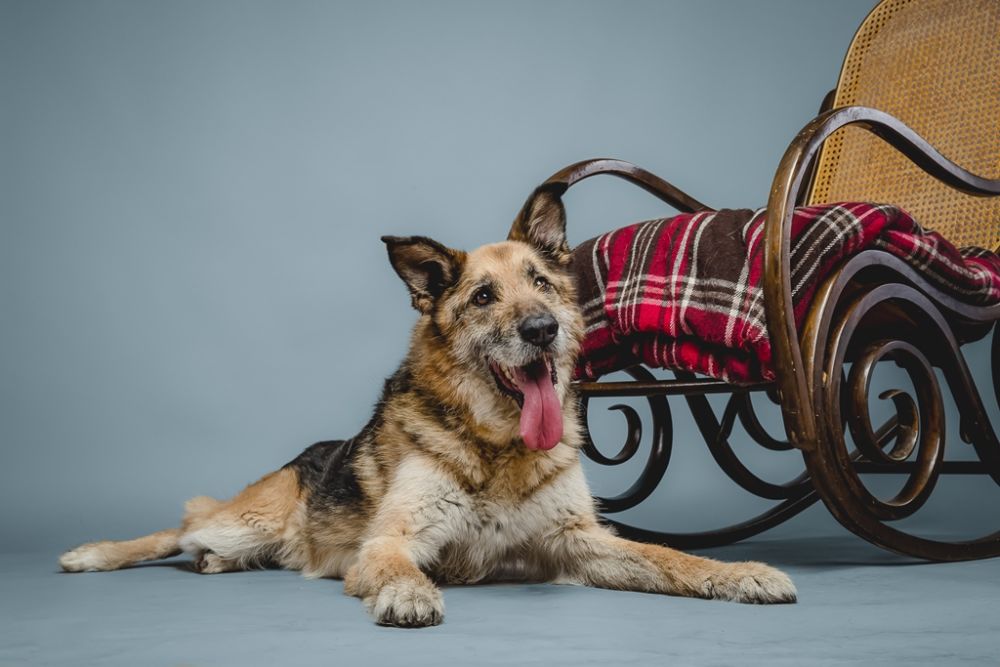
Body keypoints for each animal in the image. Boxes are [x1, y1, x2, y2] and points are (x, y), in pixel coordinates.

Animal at [59, 186, 796, 627]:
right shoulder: (394, 538)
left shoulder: (577, 541)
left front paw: (738, 573)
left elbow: (668, 558)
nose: (541, 331)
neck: (499, 444)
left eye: (540, 283)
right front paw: (410, 592)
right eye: (482, 298)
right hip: (248, 519)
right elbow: (394, 563)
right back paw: (95, 553)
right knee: (181, 527)